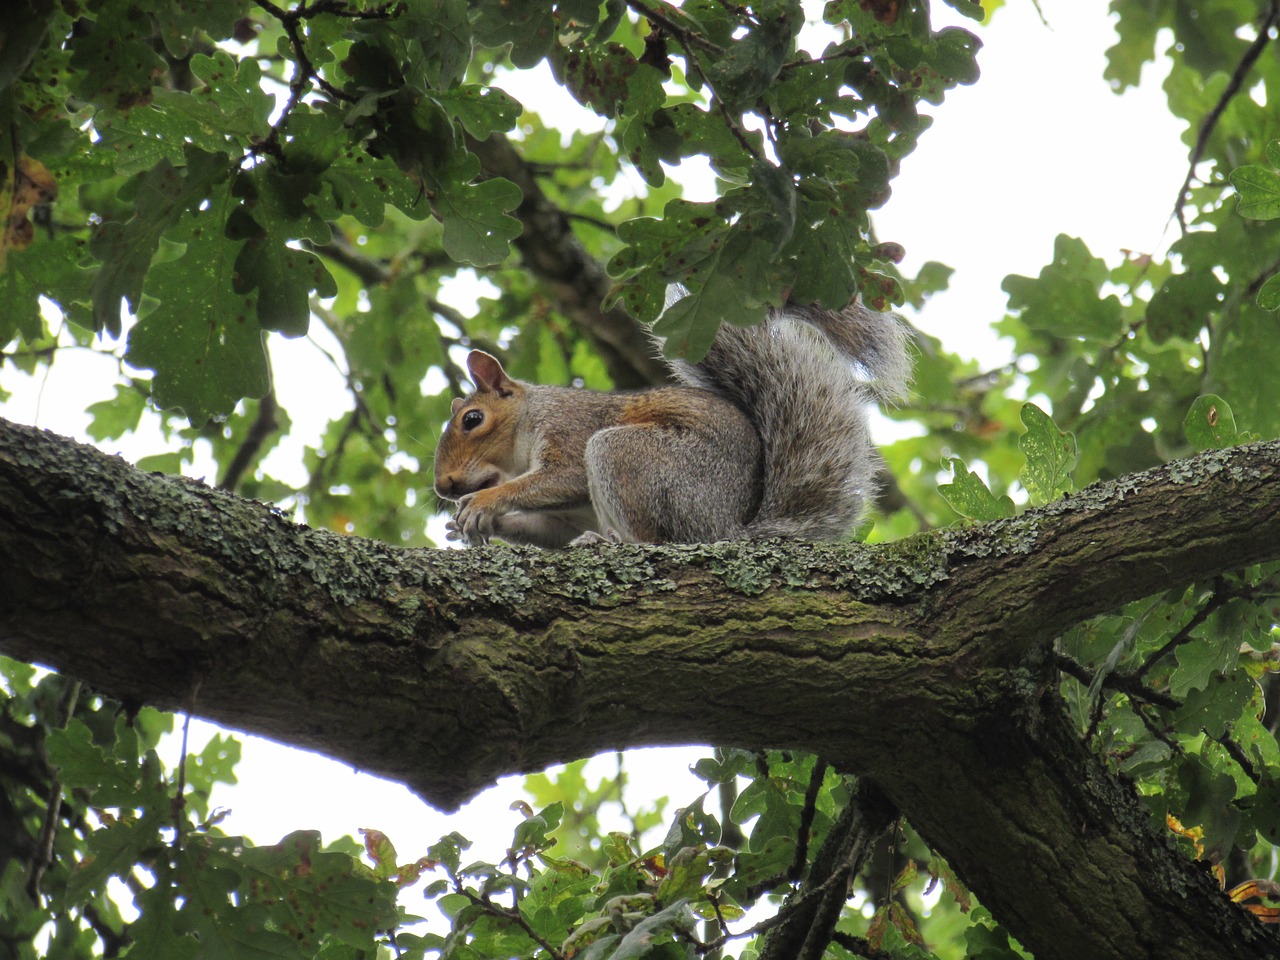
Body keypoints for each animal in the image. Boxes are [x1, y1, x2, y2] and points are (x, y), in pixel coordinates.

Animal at [435, 305, 916, 547]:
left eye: (472, 419)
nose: (444, 486)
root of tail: (726, 529)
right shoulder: (564, 519)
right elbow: (550, 532)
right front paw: (473, 526)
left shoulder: (570, 429)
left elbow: (563, 475)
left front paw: (483, 503)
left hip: (638, 460)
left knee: (656, 540)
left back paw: (617, 543)